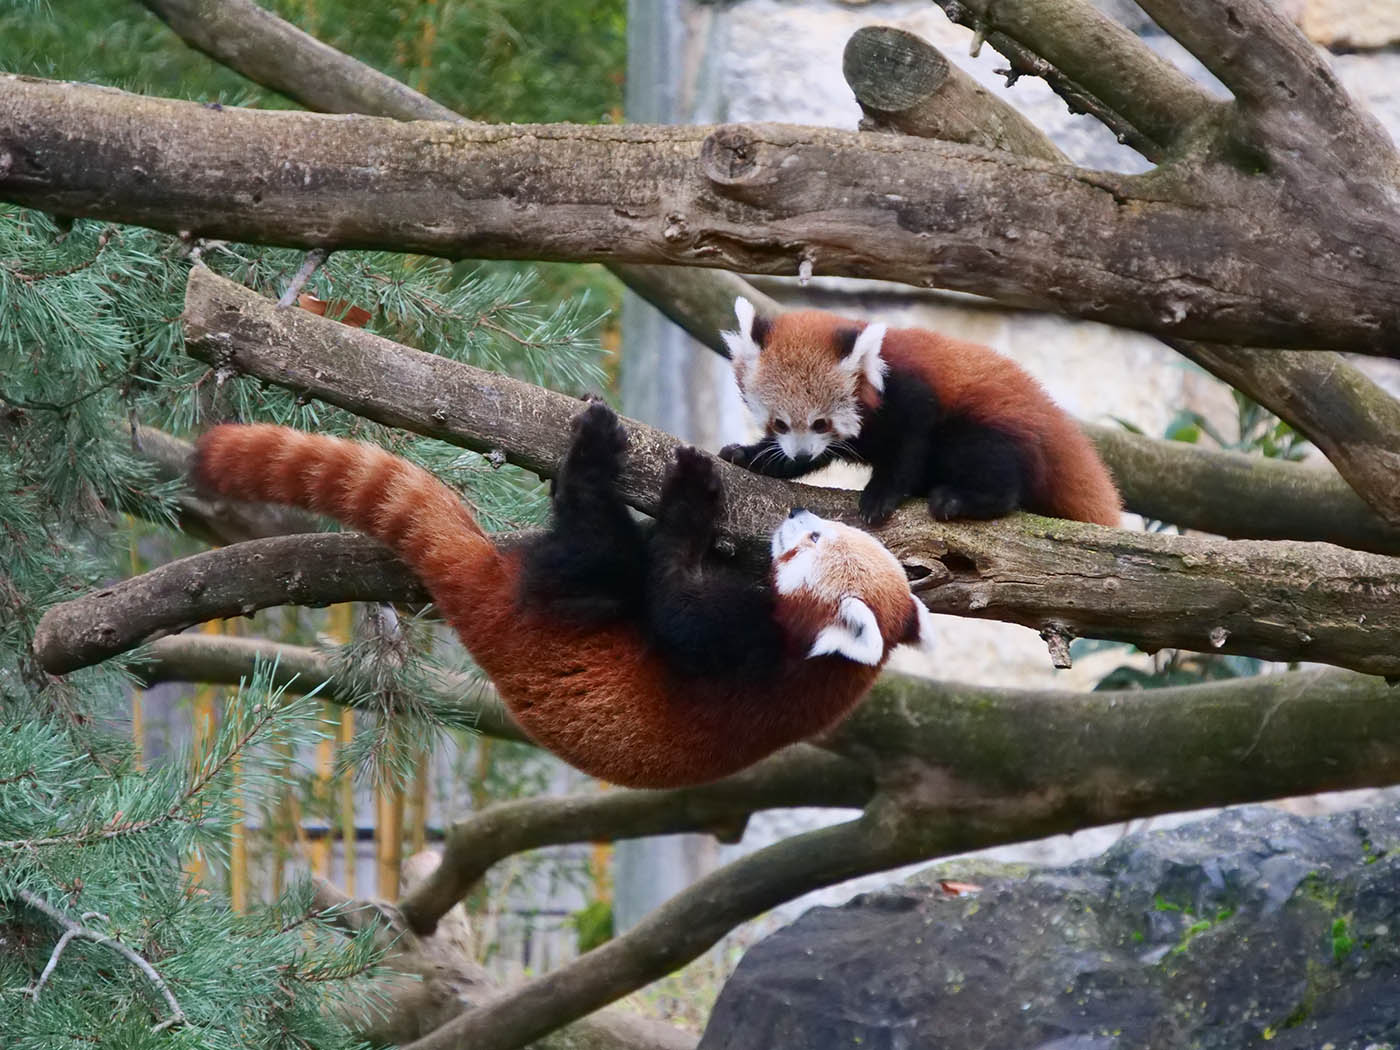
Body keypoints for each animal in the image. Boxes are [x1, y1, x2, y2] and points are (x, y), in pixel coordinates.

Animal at [194, 403, 940, 789]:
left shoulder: (745, 647)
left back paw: (590, 460)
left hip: (564, 602)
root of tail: (490, 608)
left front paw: (693, 498)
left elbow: (674, 607)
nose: (795, 513)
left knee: (601, 550)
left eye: (812, 538)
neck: (823, 660)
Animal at [716, 298, 1120, 529]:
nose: (800, 452)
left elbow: (909, 449)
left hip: (992, 427)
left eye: (821, 422)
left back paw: (960, 499)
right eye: (780, 423)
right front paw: (751, 455)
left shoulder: (912, 396)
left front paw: (880, 496)